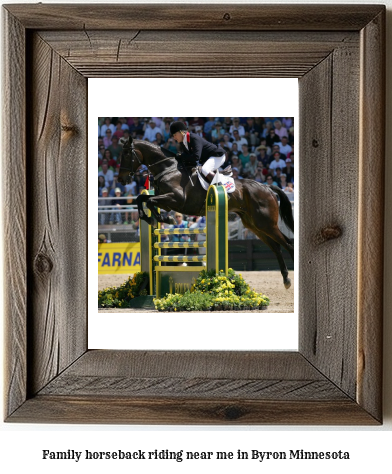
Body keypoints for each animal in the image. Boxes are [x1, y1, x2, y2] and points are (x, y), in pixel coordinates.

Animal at [119, 137, 294, 288]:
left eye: (127, 154)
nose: (122, 179)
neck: (168, 170)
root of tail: (267, 187)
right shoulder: (165, 201)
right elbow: (142, 198)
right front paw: (150, 218)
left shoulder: (175, 199)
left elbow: (149, 201)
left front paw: (166, 219)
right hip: (254, 225)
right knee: (276, 247)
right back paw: (286, 279)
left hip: (266, 223)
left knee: (287, 244)